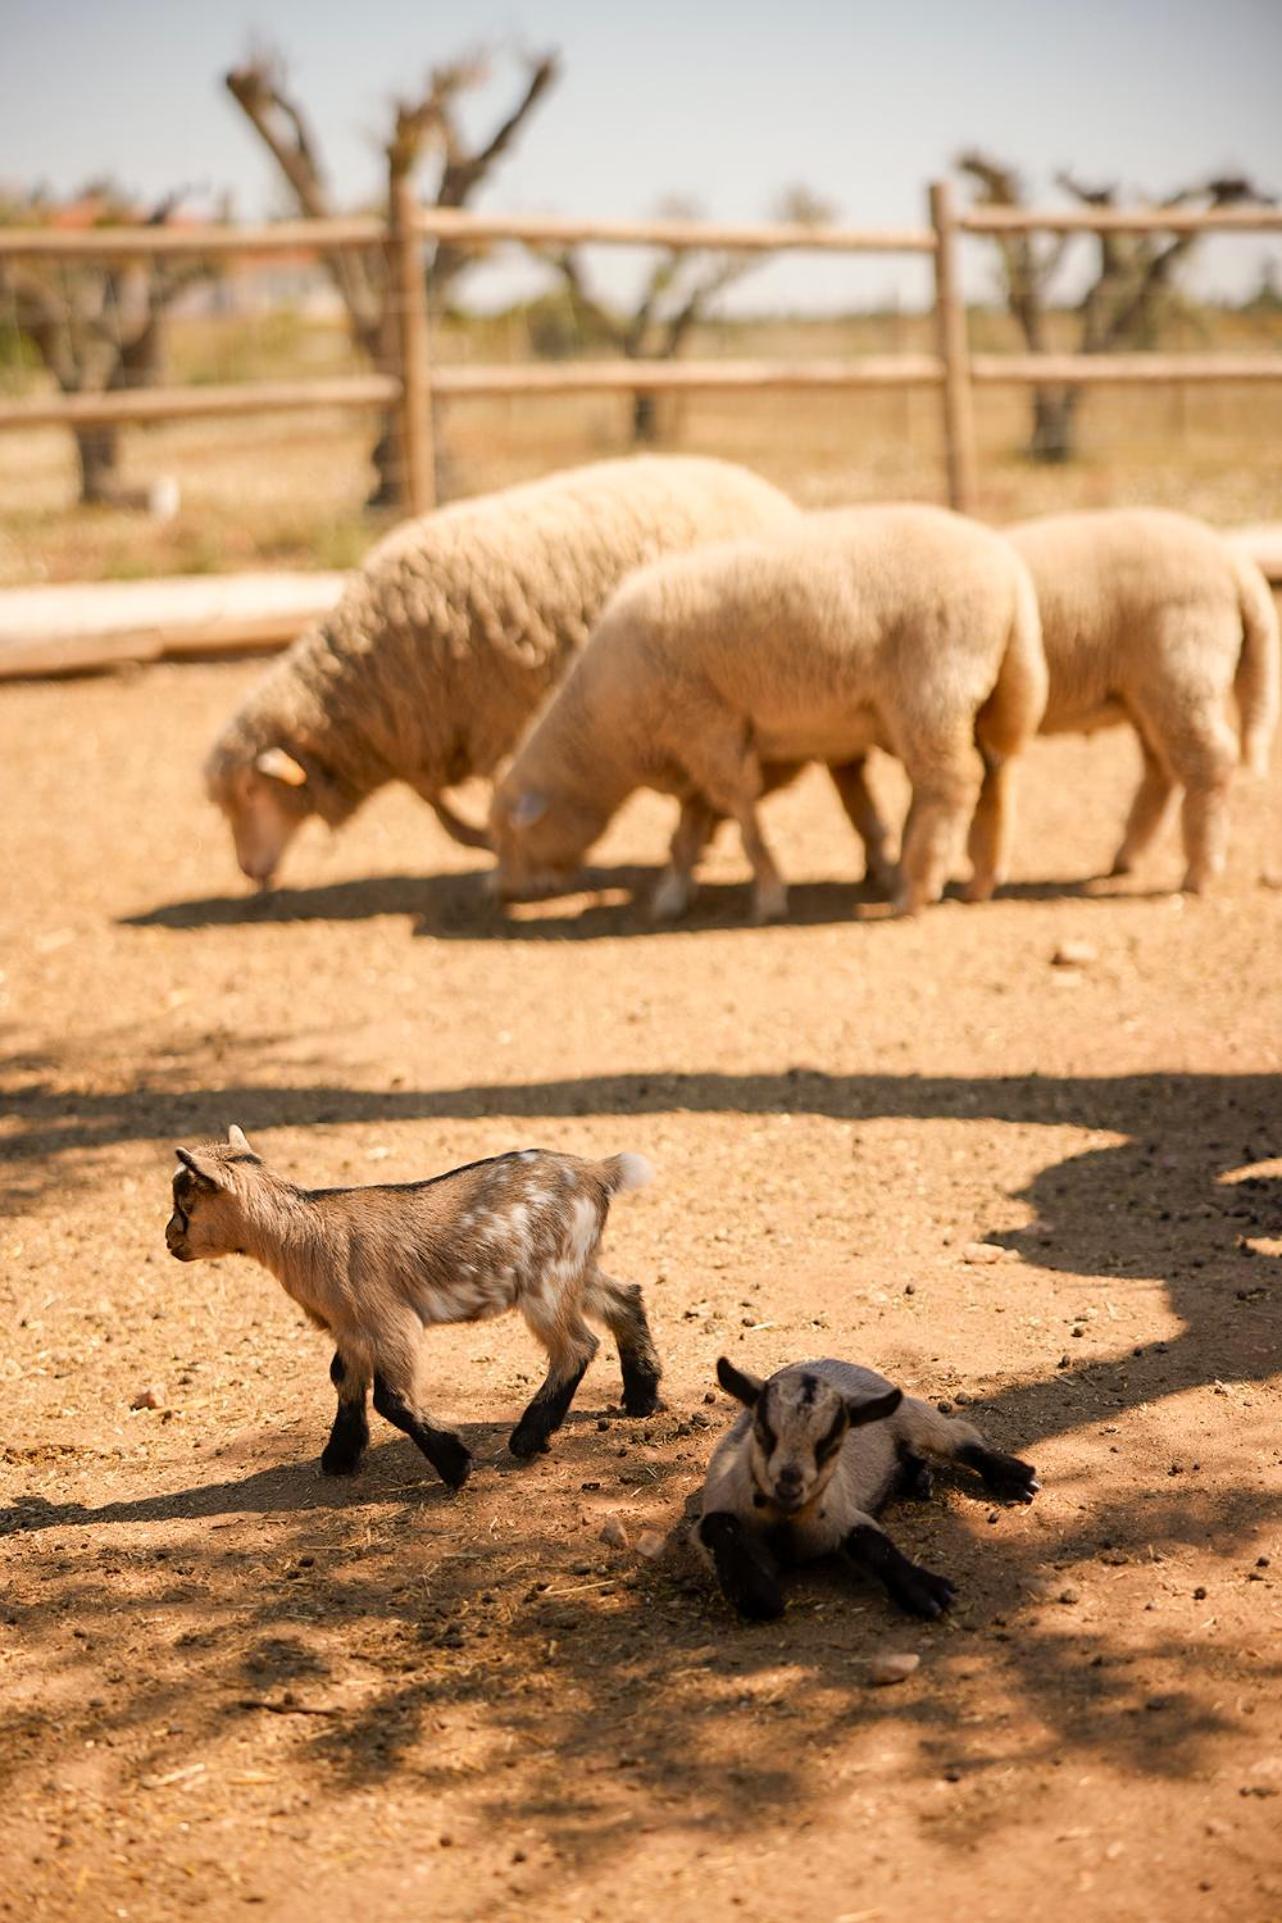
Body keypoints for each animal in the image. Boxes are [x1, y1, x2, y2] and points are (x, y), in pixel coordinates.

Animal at [204, 457, 795, 884]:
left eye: (252, 794)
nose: (247, 871)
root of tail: (769, 493)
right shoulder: (430, 732)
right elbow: (438, 807)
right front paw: (482, 841)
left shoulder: (493, 721)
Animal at [488, 499, 1045, 919]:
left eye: (509, 836)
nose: (502, 891)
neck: (605, 733)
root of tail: (1009, 576)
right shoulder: (693, 742)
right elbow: (691, 824)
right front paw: (672, 893)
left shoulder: (704, 724)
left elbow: (741, 812)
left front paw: (769, 893)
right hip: (988, 688)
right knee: (996, 771)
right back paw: (980, 878)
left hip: (932, 688)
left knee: (953, 782)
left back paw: (916, 890)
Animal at [1007, 515, 1276, 896]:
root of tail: (1239, 567)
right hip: (1151, 693)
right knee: (1162, 767)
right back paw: (1127, 857)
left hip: (1183, 670)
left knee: (1208, 760)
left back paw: (1199, 872)